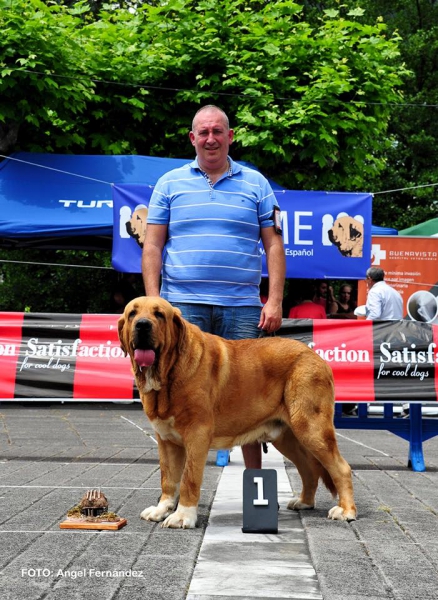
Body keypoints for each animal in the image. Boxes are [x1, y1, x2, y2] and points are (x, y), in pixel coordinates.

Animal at [118, 298, 358, 528]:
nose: (142, 324)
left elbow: (189, 479)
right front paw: (162, 509)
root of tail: (315, 356)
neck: (168, 373)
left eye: (159, 314)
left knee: (341, 468)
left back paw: (346, 511)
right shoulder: (166, 439)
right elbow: (168, 479)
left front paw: (183, 516)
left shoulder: (197, 436)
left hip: (312, 429)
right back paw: (304, 502)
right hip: (287, 437)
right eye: (132, 314)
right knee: (308, 469)